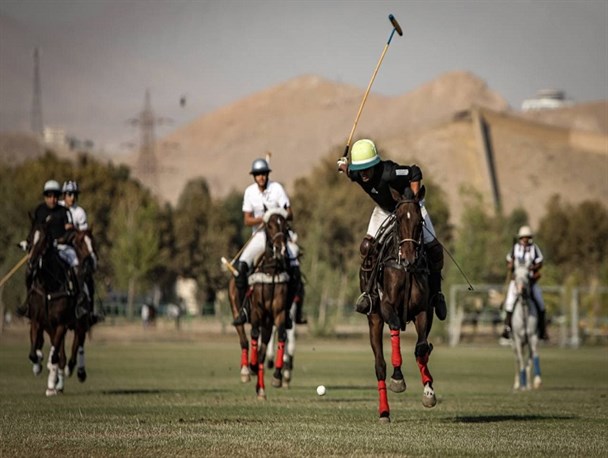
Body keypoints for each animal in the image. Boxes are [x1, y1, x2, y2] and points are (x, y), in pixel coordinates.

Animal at [24, 220, 77, 396]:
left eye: (45, 241)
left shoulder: (61, 324)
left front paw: (53, 382)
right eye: (29, 238)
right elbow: (33, 353)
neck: (49, 285)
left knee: (62, 354)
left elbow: (55, 356)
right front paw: (38, 364)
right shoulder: (36, 320)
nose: (31, 264)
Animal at [366, 186, 436, 422]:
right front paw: (397, 378)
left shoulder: (424, 311)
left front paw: (429, 392)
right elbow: (395, 326)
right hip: (374, 319)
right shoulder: (387, 306)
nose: (408, 258)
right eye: (397, 220)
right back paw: (384, 412)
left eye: (419, 221)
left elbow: (421, 348)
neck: (405, 270)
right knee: (379, 365)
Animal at [508, 262, 540, 390]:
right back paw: (518, 383)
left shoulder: (533, 337)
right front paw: (521, 383)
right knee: (517, 360)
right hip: (514, 344)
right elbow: (521, 360)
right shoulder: (517, 340)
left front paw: (536, 381)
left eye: (527, 274)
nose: (522, 290)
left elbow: (533, 357)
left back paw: (528, 383)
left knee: (528, 360)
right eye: (515, 274)